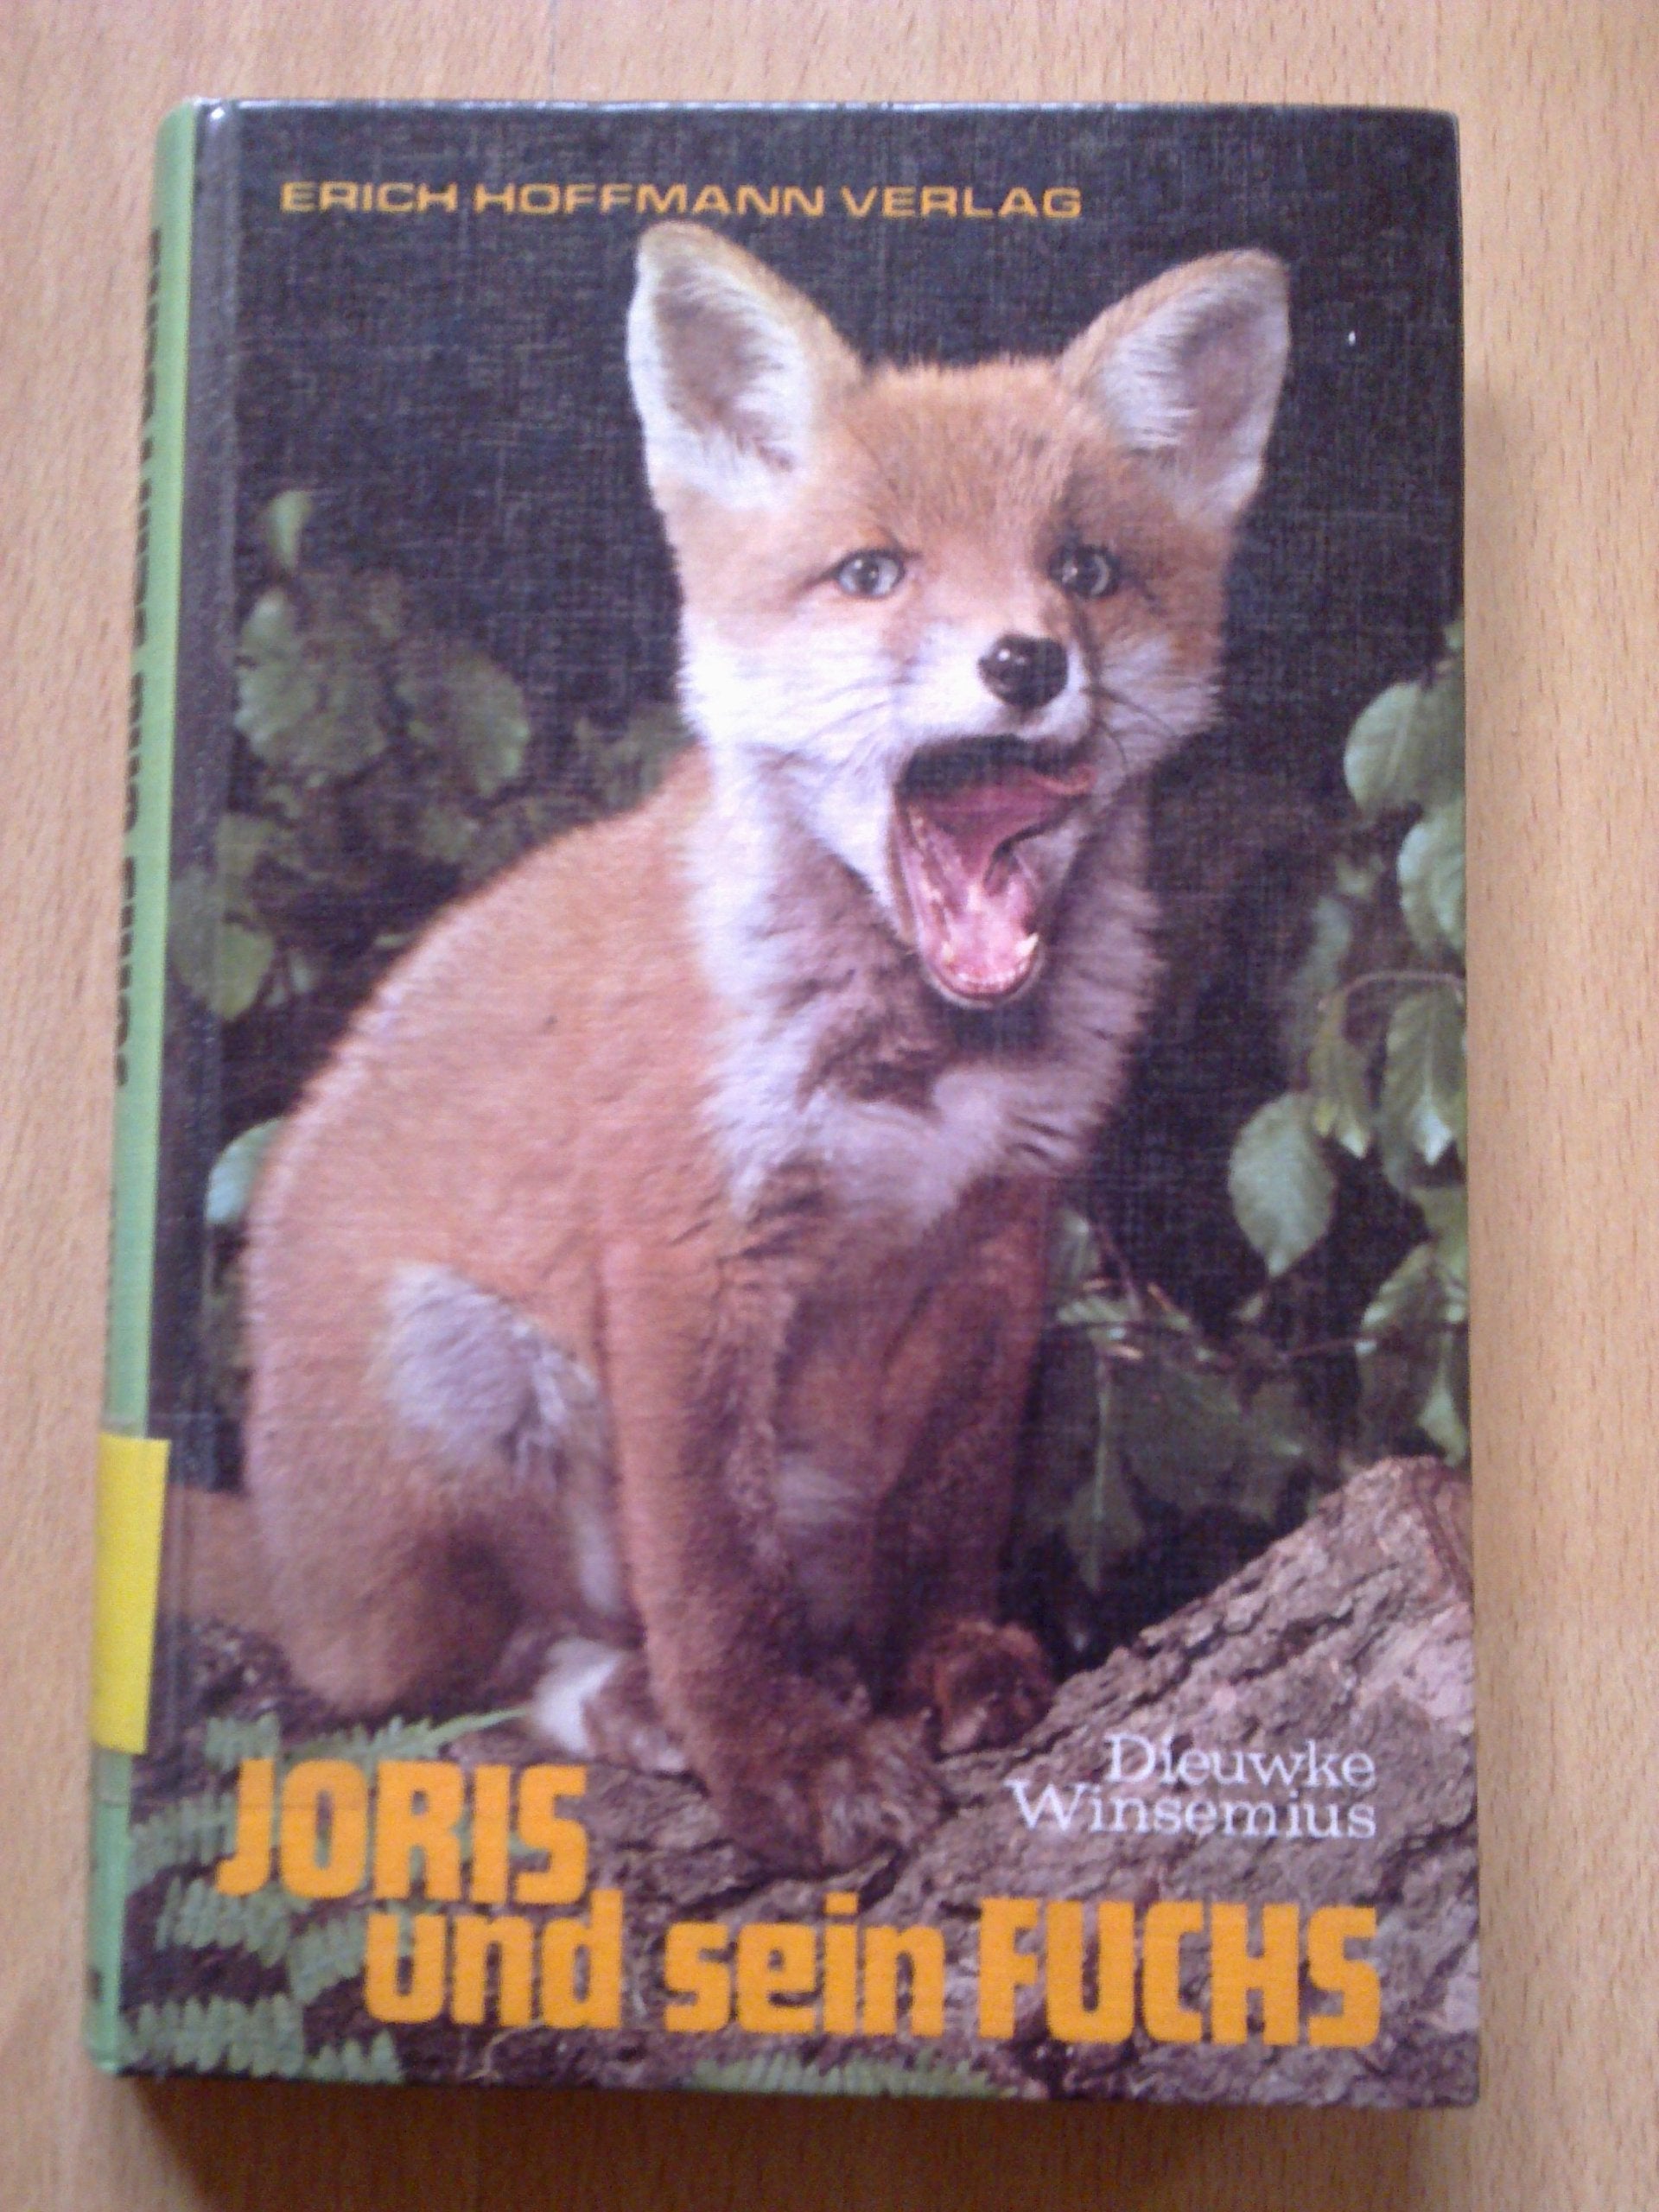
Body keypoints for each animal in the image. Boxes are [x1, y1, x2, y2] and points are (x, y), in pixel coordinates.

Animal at [240, 222, 1289, 1873]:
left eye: (1084, 571)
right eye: (873, 573)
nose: (1024, 664)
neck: (919, 1066)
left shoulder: (1004, 1241)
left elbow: (949, 1511)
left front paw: (944, 1661)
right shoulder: (691, 1259)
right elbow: (715, 1579)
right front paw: (785, 1767)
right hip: (455, 1367)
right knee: (449, 1683)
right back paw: (624, 1701)